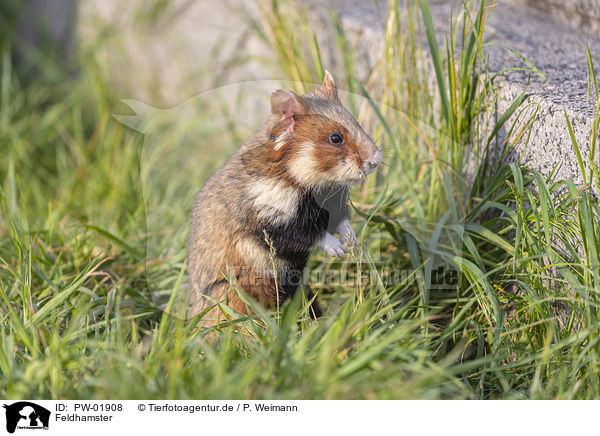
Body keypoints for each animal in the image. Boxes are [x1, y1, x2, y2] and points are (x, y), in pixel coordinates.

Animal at [190, 71, 382, 324]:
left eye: (356, 123)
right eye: (335, 138)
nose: (375, 162)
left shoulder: (333, 203)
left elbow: (342, 222)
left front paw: (351, 242)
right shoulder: (270, 224)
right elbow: (312, 234)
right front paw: (339, 250)